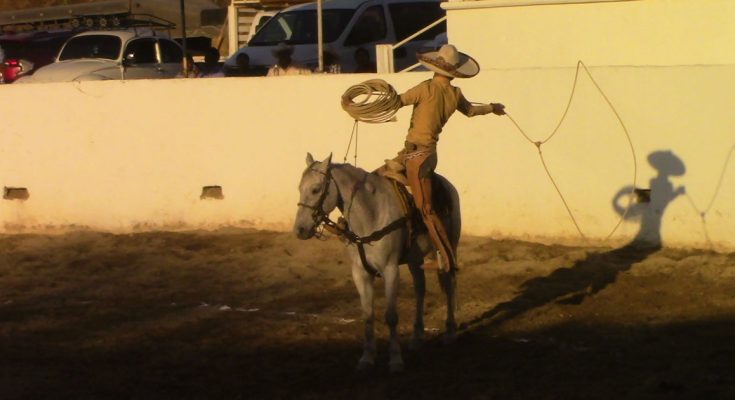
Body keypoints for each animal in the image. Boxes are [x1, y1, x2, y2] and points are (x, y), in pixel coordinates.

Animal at [292, 153, 460, 372]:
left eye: (315, 189)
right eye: (300, 188)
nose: (300, 230)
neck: (370, 215)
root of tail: (448, 186)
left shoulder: (390, 271)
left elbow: (391, 316)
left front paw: (395, 360)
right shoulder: (360, 273)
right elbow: (368, 316)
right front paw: (367, 358)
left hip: (448, 248)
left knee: (449, 286)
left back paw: (450, 332)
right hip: (415, 260)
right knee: (420, 289)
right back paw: (416, 337)